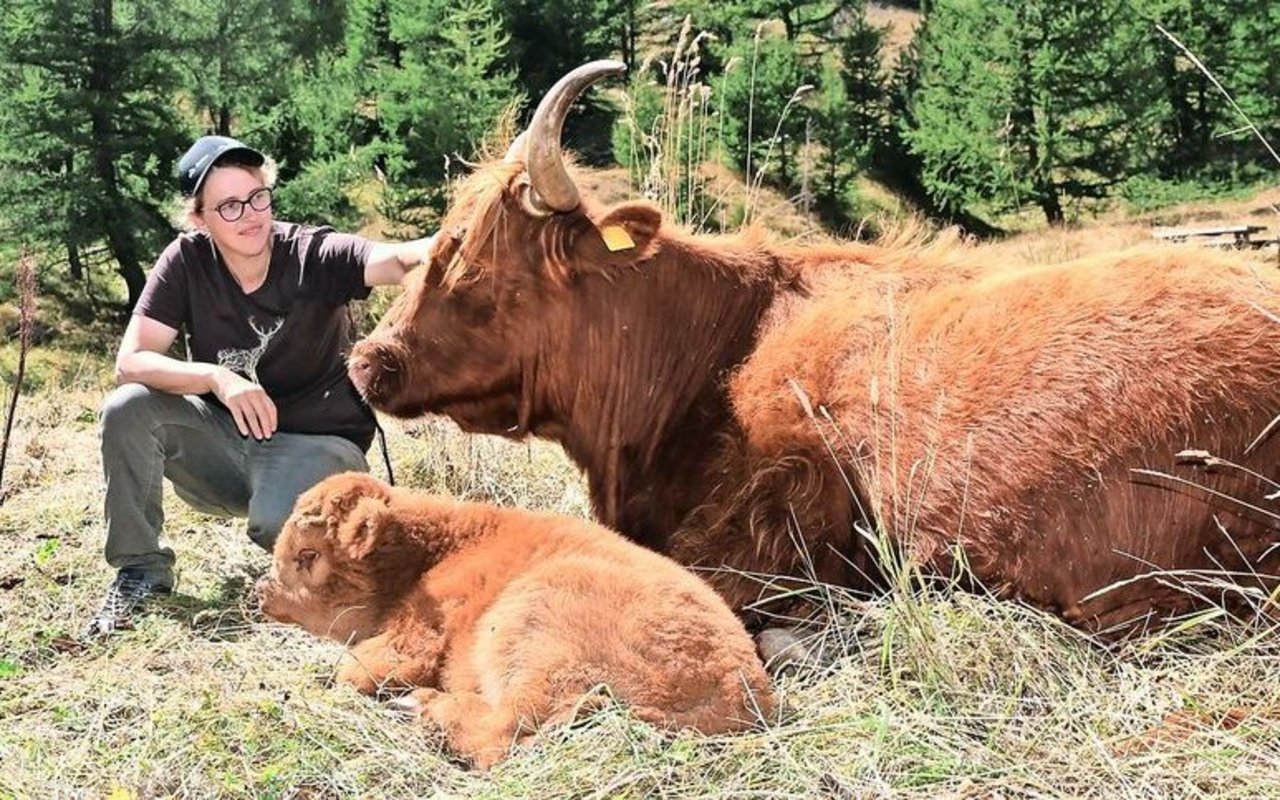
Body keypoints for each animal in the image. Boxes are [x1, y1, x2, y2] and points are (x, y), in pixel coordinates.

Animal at [252, 471, 768, 762]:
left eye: (307, 555)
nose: (262, 592)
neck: (436, 549)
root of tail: (743, 696)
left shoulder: (410, 640)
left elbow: (355, 670)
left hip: (531, 634)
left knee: (503, 734)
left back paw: (423, 707)